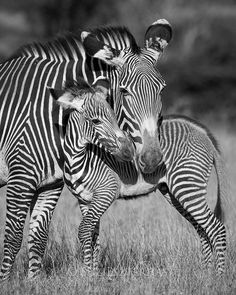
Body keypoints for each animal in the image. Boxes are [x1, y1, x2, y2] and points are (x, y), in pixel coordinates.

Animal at [0, 20, 172, 280]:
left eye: (161, 90)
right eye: (124, 91)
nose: (152, 159)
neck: (55, 118)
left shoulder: (51, 183)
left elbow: (39, 237)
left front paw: (33, 283)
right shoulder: (20, 178)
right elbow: (12, 237)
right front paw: (8, 283)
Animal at [56, 105, 227, 274]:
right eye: (96, 121)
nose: (128, 151)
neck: (79, 159)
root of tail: (203, 133)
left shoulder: (107, 191)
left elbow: (84, 230)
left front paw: (87, 273)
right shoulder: (85, 200)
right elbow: (93, 235)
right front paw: (93, 273)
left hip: (187, 185)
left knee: (216, 228)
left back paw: (218, 275)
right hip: (175, 192)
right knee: (202, 228)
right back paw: (206, 272)